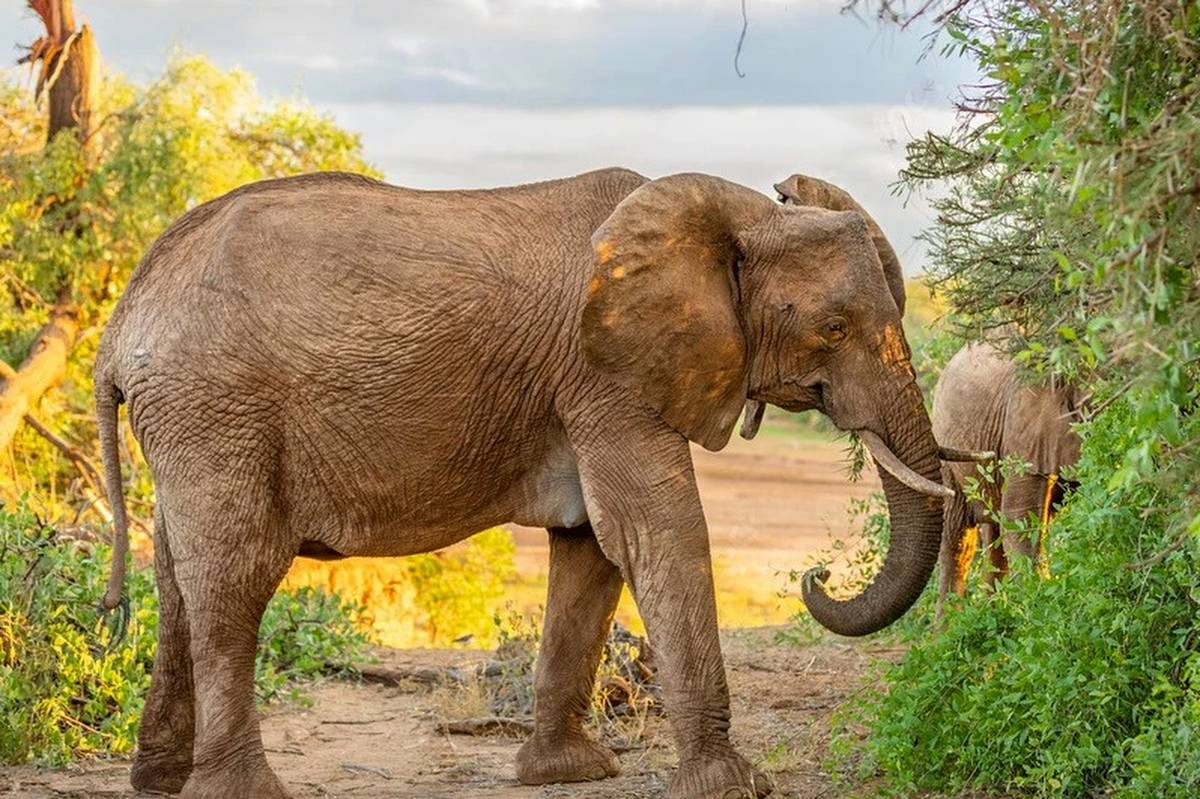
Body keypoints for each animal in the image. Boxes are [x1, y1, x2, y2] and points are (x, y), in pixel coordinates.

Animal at [94, 167, 957, 799]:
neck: (733, 214)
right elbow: (658, 530)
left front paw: (569, 773)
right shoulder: (604, 372)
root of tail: (124, 318)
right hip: (216, 411)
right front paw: (734, 786)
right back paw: (240, 790)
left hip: (189, 422)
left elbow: (591, 550)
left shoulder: (590, 385)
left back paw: (159, 781)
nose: (816, 576)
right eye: (834, 328)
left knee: (177, 580)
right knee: (234, 576)